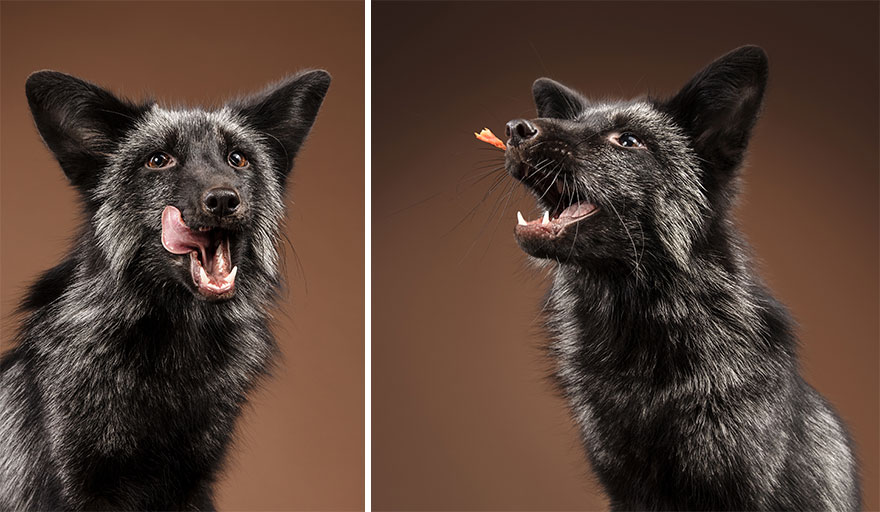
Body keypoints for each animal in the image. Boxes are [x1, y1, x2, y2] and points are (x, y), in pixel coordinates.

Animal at [0, 70, 330, 509]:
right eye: (158, 160)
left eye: (238, 158)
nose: (223, 200)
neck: (176, 345)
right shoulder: (77, 482)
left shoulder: (192, 483)